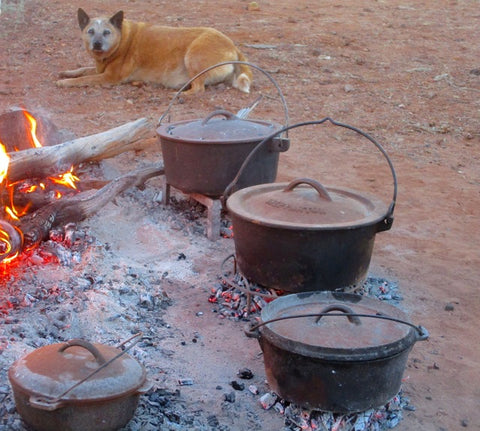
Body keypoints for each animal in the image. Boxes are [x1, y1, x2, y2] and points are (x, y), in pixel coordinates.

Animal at [56, 8, 253, 94]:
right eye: (90, 31)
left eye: (106, 32)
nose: (97, 44)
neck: (122, 40)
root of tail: (233, 45)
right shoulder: (100, 70)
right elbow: (82, 70)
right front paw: (66, 73)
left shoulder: (110, 77)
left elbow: (83, 79)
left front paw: (65, 82)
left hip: (193, 56)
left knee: (199, 89)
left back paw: (179, 93)